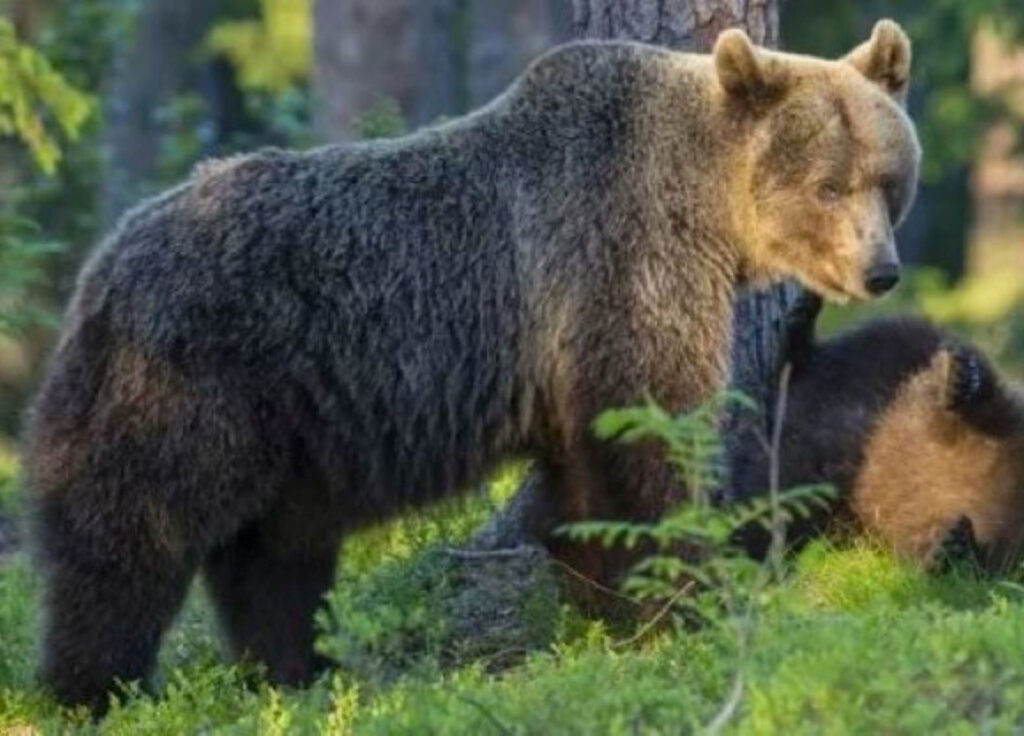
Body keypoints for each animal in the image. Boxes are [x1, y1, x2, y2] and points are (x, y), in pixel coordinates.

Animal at [25, 23, 921, 712]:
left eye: (888, 179)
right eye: (829, 185)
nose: (880, 270)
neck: (708, 210)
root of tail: (101, 267)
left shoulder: (568, 355)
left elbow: (584, 485)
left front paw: (604, 604)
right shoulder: (615, 265)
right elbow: (646, 444)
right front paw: (686, 599)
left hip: (286, 438)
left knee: (274, 559)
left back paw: (299, 669)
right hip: (187, 381)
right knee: (128, 534)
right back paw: (92, 685)